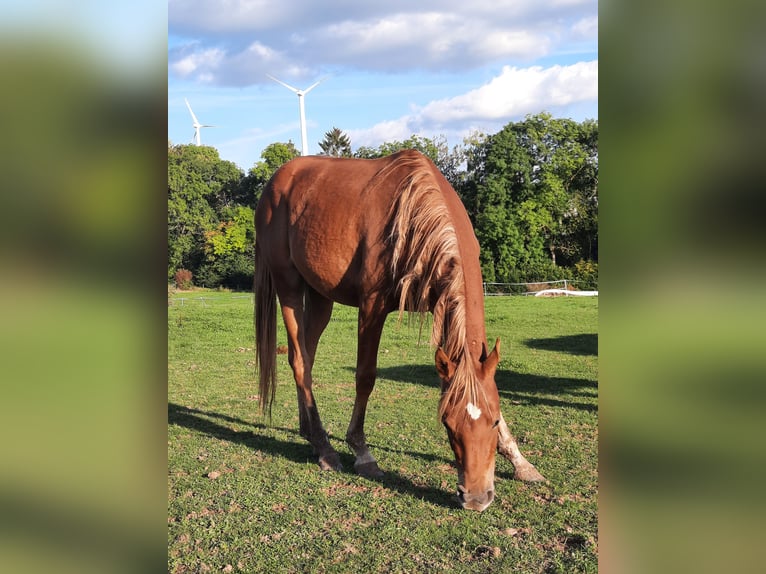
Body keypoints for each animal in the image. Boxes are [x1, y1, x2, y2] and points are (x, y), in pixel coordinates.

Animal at [254, 150, 543, 511]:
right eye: (447, 424)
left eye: (492, 421)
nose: (476, 498)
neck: (416, 211)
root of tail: (276, 181)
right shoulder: (372, 307)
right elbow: (365, 377)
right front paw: (362, 453)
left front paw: (521, 462)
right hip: (289, 285)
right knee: (299, 360)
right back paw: (325, 449)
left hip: (320, 296)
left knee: (305, 356)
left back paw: (309, 431)